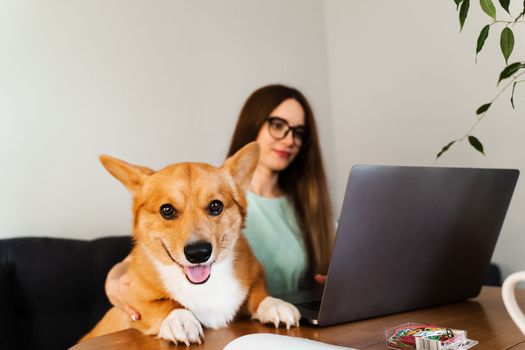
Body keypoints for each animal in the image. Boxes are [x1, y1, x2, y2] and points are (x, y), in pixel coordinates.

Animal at [78, 143, 298, 344]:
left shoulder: (253, 280)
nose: (198, 253)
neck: (203, 286)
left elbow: (257, 294)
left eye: (216, 206)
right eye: (166, 210)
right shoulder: (132, 301)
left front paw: (274, 304)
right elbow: (162, 303)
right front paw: (180, 319)